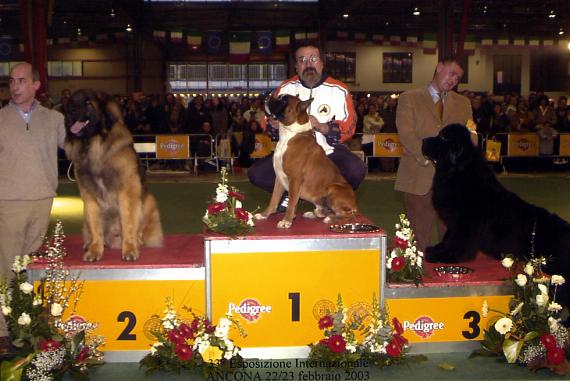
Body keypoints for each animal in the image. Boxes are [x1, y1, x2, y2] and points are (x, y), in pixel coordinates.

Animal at [64, 89, 162, 262]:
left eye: (88, 103)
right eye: (71, 102)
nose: (70, 111)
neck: (95, 148)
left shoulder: (127, 190)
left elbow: (129, 222)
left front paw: (130, 249)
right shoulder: (89, 195)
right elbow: (96, 226)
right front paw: (95, 250)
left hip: (149, 201)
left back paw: (137, 241)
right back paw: (89, 243)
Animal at [254, 94, 356, 227]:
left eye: (283, 101)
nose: (267, 96)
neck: (290, 135)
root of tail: (355, 204)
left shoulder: (295, 179)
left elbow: (291, 203)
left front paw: (286, 221)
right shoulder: (279, 178)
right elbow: (274, 199)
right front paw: (264, 215)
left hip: (334, 189)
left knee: (349, 214)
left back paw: (331, 219)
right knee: (324, 211)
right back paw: (316, 213)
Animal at [420, 124, 564, 294]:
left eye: (443, 137)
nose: (423, 140)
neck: (458, 172)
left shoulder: (466, 222)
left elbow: (458, 240)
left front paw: (447, 256)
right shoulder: (455, 221)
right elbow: (449, 236)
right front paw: (439, 249)